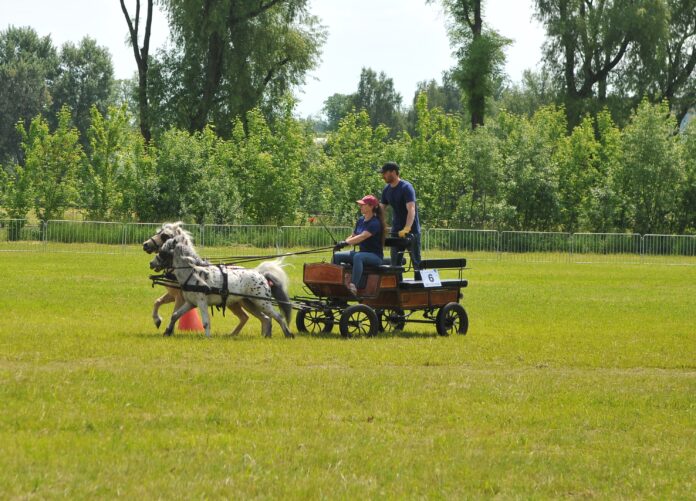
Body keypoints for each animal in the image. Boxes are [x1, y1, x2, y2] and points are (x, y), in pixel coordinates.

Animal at [151, 233, 292, 336]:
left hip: (262, 303)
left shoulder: (202, 302)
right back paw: (265, 336)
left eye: (162, 252)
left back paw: (288, 334)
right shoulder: (190, 303)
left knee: (278, 316)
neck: (193, 273)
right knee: (266, 319)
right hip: (250, 303)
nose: (151, 263)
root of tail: (260, 274)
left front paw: (207, 337)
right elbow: (175, 315)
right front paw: (167, 331)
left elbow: (206, 322)